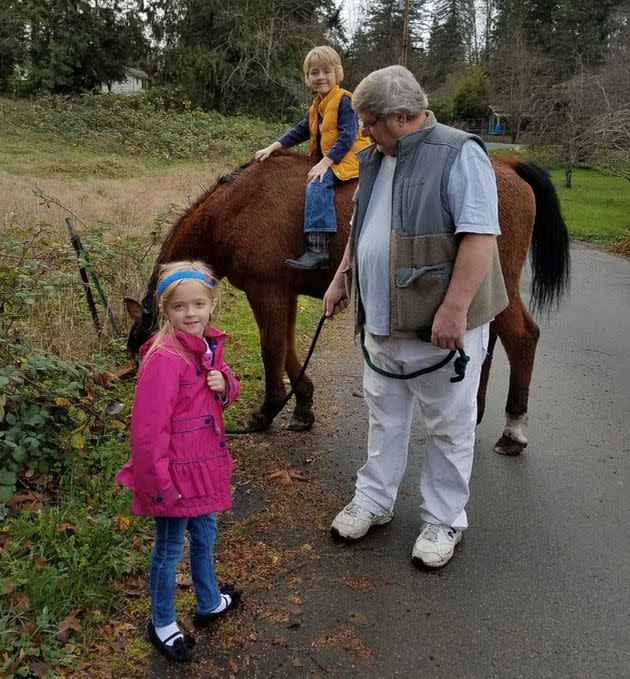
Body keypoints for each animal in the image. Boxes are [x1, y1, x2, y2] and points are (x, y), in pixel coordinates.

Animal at [128, 149, 572, 456]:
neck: (239, 203)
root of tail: (507, 163)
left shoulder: (266, 292)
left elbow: (272, 350)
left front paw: (267, 412)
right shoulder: (284, 294)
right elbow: (289, 348)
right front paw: (302, 405)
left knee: (523, 338)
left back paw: (513, 431)